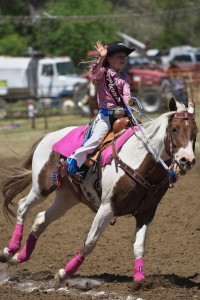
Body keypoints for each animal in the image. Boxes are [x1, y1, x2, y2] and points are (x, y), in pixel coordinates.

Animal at [0, 98, 197, 282]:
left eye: (195, 132)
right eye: (174, 129)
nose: (187, 160)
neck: (139, 161)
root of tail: (47, 136)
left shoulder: (147, 212)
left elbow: (139, 246)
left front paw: (140, 280)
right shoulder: (107, 206)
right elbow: (90, 242)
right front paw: (64, 273)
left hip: (67, 197)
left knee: (41, 219)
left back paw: (18, 257)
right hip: (42, 187)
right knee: (23, 206)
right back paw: (9, 251)